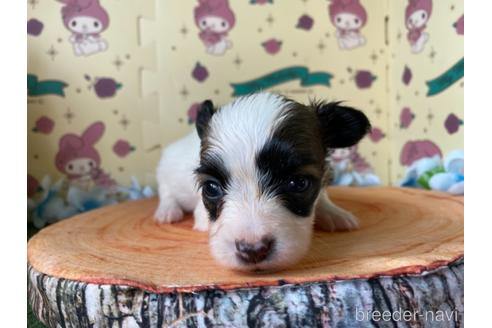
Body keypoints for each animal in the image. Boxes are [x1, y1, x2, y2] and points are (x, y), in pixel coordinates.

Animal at [156, 92, 370, 272]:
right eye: (211, 188)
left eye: (298, 183)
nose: (253, 250)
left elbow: (322, 197)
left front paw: (335, 213)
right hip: (165, 169)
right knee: (166, 192)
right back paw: (167, 211)